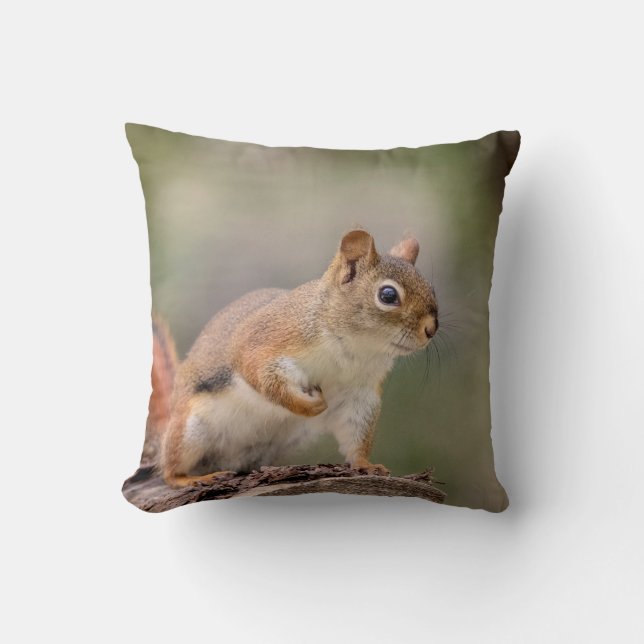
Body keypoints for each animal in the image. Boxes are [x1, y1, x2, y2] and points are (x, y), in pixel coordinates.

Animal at [149, 229, 439, 488]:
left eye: (431, 289)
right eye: (388, 295)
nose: (431, 329)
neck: (356, 348)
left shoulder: (359, 393)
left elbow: (356, 433)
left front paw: (364, 465)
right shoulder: (265, 341)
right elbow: (262, 377)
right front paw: (309, 406)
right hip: (189, 430)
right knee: (169, 470)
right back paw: (190, 478)